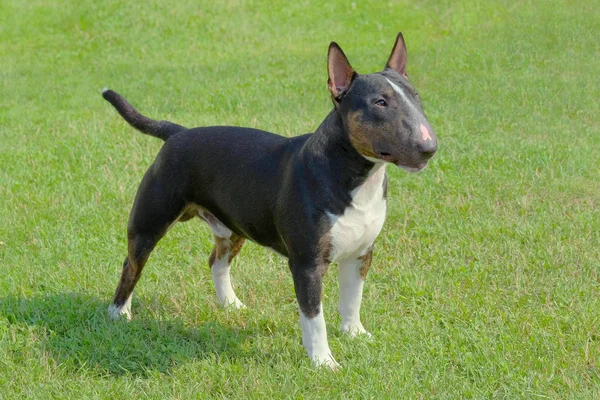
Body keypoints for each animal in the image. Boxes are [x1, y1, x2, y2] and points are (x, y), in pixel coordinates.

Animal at [103, 32, 438, 370]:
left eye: (415, 96)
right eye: (380, 103)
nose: (429, 147)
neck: (356, 177)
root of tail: (177, 133)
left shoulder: (361, 253)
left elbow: (352, 299)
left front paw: (355, 333)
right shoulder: (307, 264)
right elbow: (314, 318)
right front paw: (323, 362)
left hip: (232, 226)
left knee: (216, 261)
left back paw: (231, 304)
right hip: (150, 222)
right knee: (132, 264)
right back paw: (119, 313)